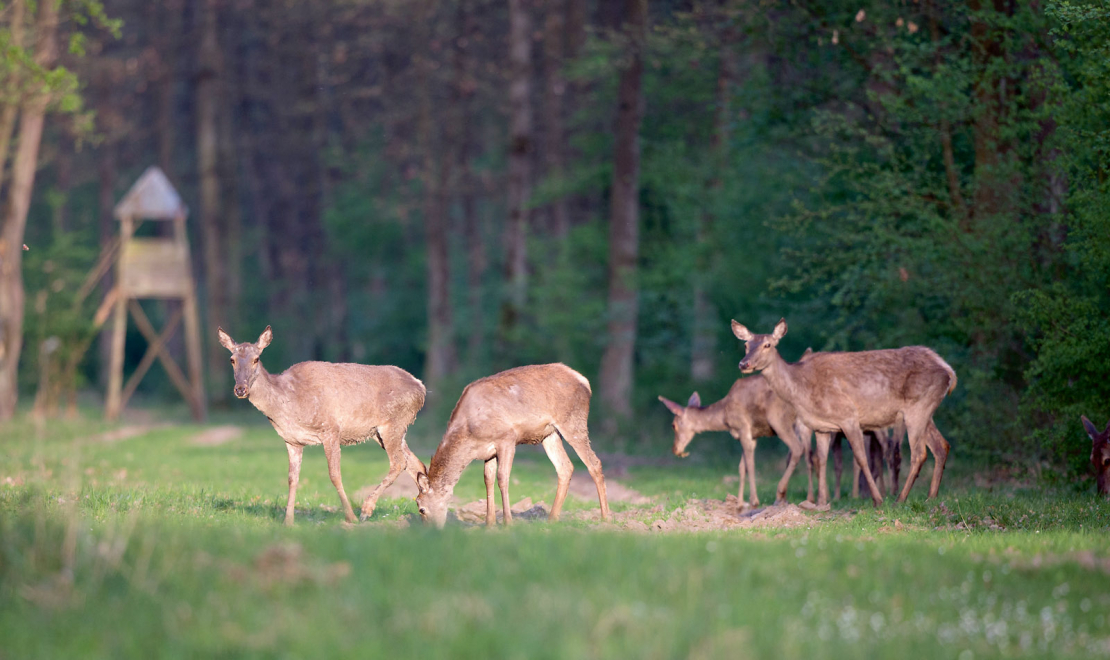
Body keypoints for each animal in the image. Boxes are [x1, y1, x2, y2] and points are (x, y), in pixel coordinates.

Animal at [218, 326, 426, 525]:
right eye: (232, 359)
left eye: (256, 359)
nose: (241, 389)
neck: (289, 403)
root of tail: (421, 387)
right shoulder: (292, 441)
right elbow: (292, 479)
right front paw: (288, 521)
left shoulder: (330, 429)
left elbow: (334, 475)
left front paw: (350, 517)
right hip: (383, 432)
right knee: (416, 464)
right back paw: (425, 513)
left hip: (393, 423)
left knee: (399, 463)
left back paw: (367, 510)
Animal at [415, 363, 612, 530]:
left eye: (420, 508)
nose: (429, 532)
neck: (470, 433)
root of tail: (584, 380)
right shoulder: (488, 451)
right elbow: (488, 479)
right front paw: (489, 523)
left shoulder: (507, 438)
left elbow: (502, 478)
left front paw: (507, 523)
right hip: (550, 434)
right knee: (565, 467)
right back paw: (551, 519)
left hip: (573, 421)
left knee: (594, 463)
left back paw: (605, 518)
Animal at [652, 377, 812, 505]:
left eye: (673, 425)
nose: (675, 449)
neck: (724, 416)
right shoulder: (749, 435)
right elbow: (742, 467)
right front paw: (739, 503)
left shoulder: (743, 427)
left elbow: (751, 465)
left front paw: (754, 501)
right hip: (802, 423)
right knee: (808, 453)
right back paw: (807, 499)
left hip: (778, 419)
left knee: (797, 448)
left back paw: (781, 493)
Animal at [728, 319, 954, 505]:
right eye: (746, 345)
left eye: (768, 345)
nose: (744, 363)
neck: (802, 390)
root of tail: (949, 371)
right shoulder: (822, 426)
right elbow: (821, 460)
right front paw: (821, 503)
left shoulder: (848, 417)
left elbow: (860, 458)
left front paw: (877, 500)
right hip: (925, 411)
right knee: (941, 445)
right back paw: (931, 498)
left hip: (918, 407)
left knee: (918, 454)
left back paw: (900, 499)